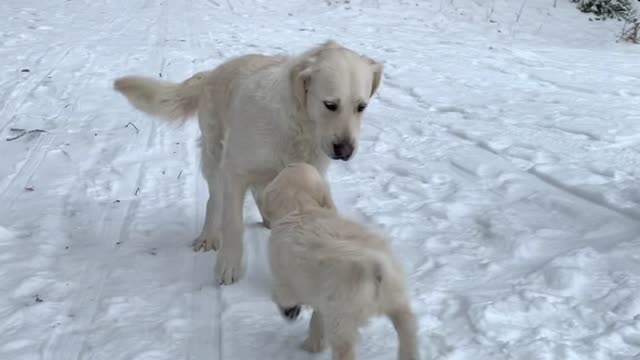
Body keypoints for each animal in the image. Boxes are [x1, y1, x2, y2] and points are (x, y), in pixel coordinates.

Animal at [262, 164, 418, 360]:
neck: (300, 207)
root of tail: (374, 266)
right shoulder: (323, 298)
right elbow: (317, 317)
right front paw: (313, 344)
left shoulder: (282, 275)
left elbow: (283, 296)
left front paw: (291, 315)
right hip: (395, 296)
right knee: (408, 325)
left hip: (343, 316)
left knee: (345, 348)